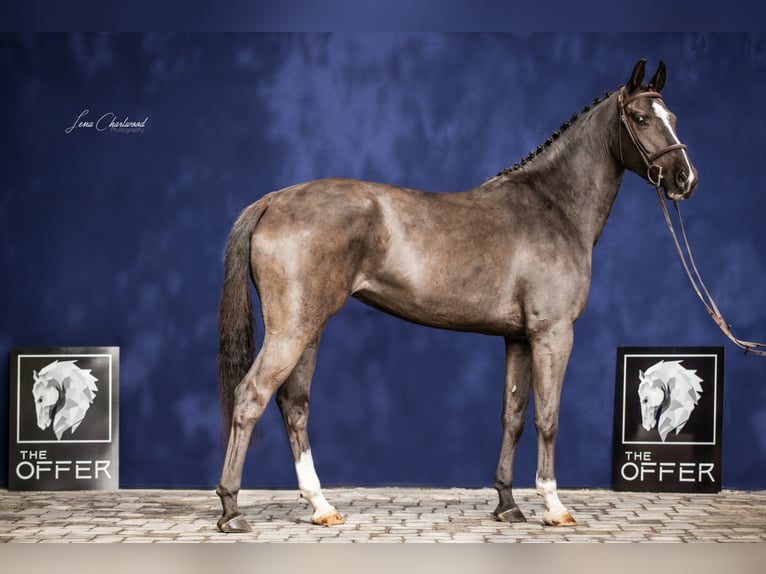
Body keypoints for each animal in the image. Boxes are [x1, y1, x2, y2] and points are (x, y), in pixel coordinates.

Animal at [215, 59, 698, 532]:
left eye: (673, 118)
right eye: (640, 118)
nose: (684, 179)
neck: (553, 207)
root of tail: (274, 200)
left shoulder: (518, 338)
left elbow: (513, 416)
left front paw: (507, 504)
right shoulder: (553, 335)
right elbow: (547, 417)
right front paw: (554, 505)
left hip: (310, 327)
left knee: (293, 404)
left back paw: (320, 506)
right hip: (292, 329)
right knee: (251, 397)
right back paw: (232, 510)